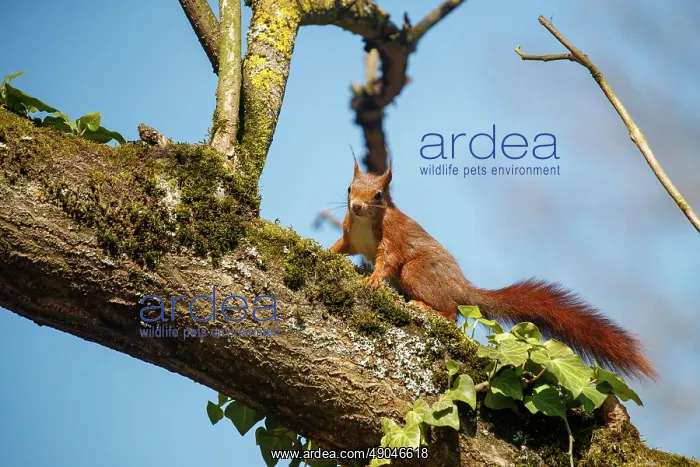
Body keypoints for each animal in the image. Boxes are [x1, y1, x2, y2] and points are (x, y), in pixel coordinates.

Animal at [329, 160, 657, 381]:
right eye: (349, 188)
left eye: (378, 195)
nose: (356, 206)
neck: (365, 222)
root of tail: (463, 288)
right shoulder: (350, 236)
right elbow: (339, 248)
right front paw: (328, 252)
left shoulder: (393, 240)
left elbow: (387, 261)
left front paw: (373, 278)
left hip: (416, 272)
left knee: (451, 312)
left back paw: (427, 307)